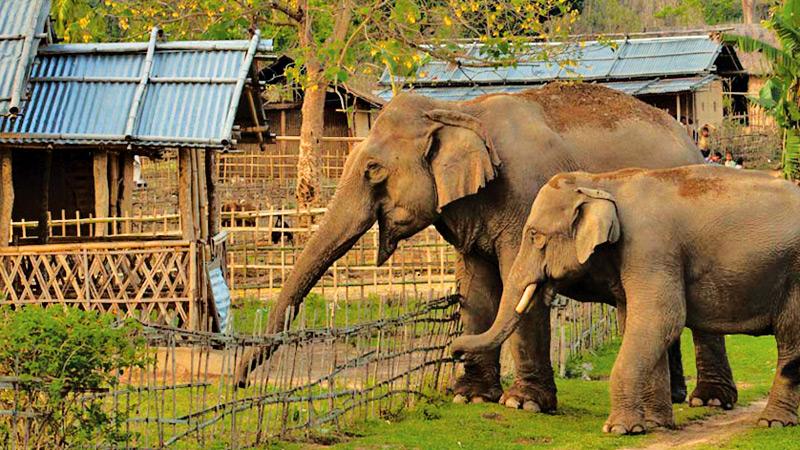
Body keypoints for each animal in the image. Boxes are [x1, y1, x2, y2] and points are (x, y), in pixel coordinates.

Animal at [236, 81, 736, 412]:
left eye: (373, 170)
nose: (241, 382)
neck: (458, 110)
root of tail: (691, 139)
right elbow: (476, 289)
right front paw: (470, 396)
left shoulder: (528, 195)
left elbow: (521, 285)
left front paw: (523, 405)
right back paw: (676, 398)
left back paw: (709, 401)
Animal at [450, 167, 800, 434]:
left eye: (535, 235)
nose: (454, 351)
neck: (603, 181)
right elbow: (637, 323)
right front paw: (655, 426)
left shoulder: (651, 248)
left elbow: (661, 320)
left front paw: (618, 429)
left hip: (794, 278)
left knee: (789, 341)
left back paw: (774, 423)